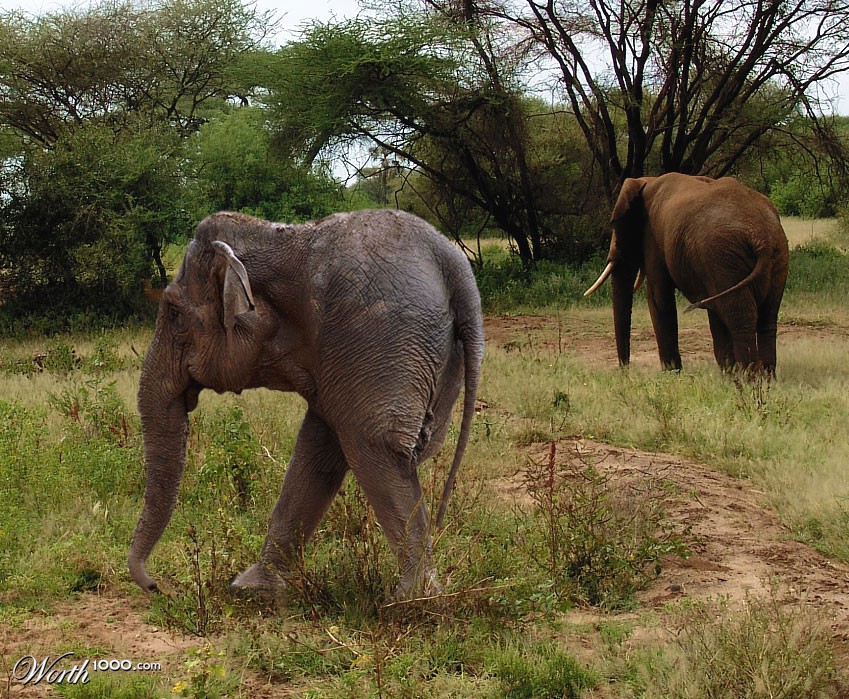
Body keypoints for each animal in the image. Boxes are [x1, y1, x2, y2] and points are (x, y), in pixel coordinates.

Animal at [127, 209, 484, 600]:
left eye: (174, 313)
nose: (156, 586)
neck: (270, 236)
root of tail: (453, 263)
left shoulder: (355, 341)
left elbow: (341, 444)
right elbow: (319, 446)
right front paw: (252, 590)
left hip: (391, 331)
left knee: (378, 447)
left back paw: (410, 601)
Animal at [584, 173, 789, 375]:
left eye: (617, 227)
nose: (625, 372)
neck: (646, 181)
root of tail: (762, 239)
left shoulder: (653, 237)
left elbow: (658, 298)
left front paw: (672, 375)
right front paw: (726, 374)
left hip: (724, 259)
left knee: (740, 318)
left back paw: (750, 380)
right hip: (775, 257)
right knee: (766, 317)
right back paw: (763, 378)